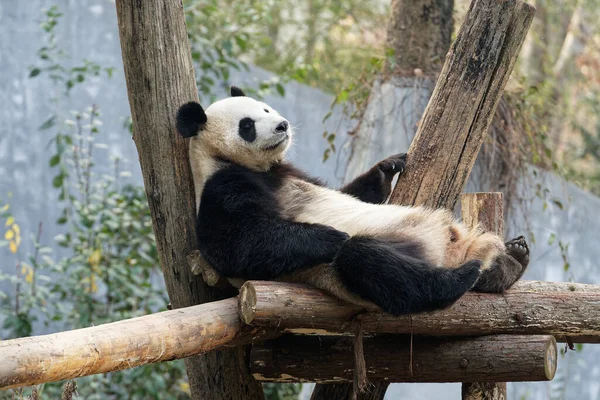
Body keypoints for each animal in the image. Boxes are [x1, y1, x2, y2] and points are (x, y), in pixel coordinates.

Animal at [175, 85, 528, 316]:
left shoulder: (292, 170)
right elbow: (236, 245)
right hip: (383, 258)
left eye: (264, 108)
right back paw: (463, 275)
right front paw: (329, 235)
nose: (281, 125)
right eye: (246, 125)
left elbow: (351, 191)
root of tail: (454, 251)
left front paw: (388, 167)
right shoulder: (222, 185)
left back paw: (511, 260)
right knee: (373, 264)